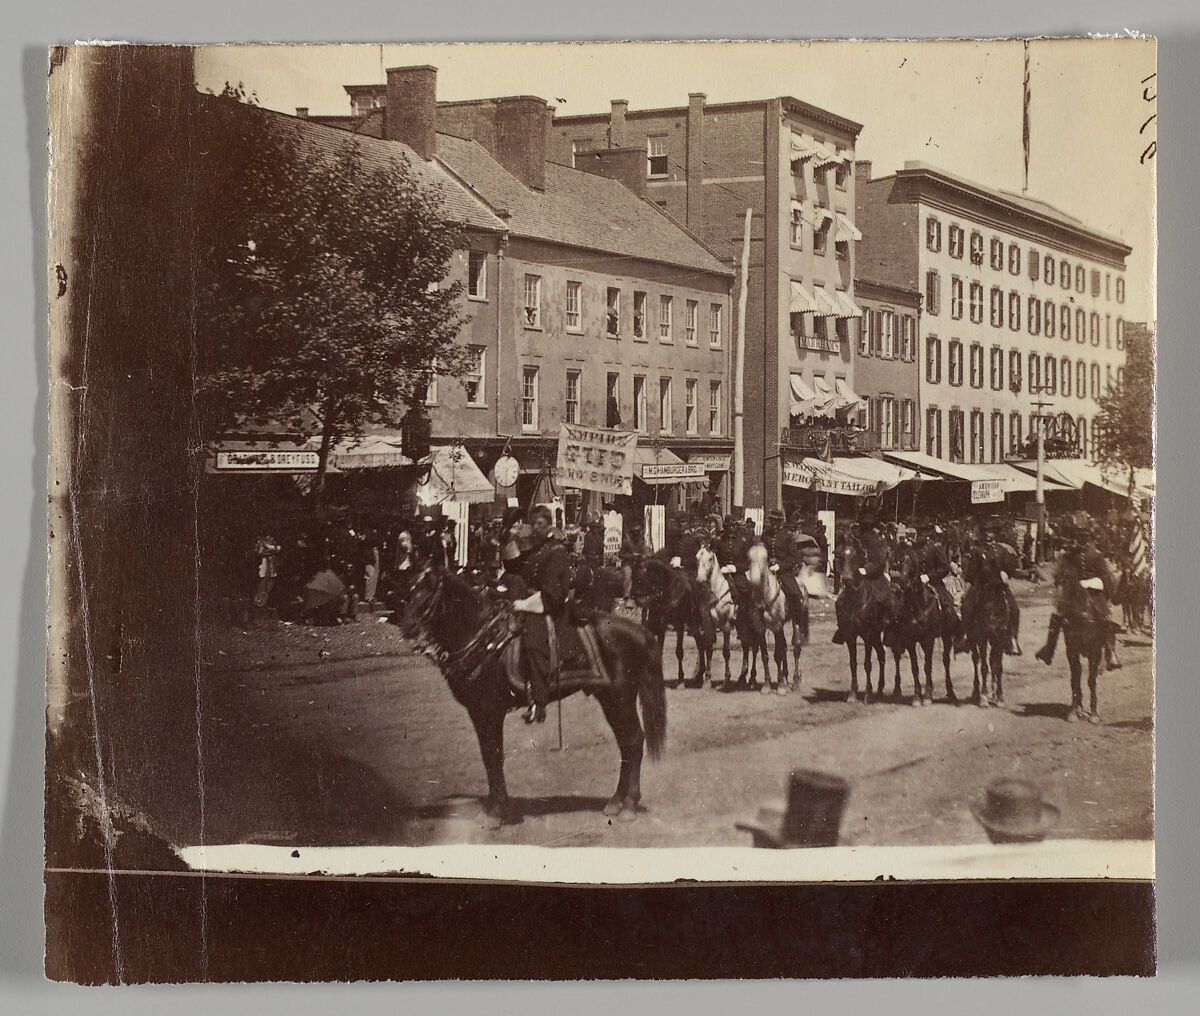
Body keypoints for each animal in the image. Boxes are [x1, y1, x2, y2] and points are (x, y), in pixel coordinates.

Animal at [400, 563, 667, 825]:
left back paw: (629, 804)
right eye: (410, 589)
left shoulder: (487, 711)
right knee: (626, 744)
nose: (407, 627)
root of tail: (641, 632)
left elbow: (493, 756)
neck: (483, 639)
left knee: (633, 741)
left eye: (429, 591)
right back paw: (616, 802)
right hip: (611, 700)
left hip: (619, 699)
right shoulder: (480, 713)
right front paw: (495, 807)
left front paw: (496, 812)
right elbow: (489, 756)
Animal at [744, 544, 811, 695]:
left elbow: (777, 654)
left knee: (796, 647)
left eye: (765, 559)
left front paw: (780, 685)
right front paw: (767, 685)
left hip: (796, 621)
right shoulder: (760, 629)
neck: (764, 597)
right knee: (785, 647)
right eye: (749, 558)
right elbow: (765, 655)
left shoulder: (777, 627)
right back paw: (786, 678)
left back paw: (795, 681)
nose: (754, 581)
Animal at [888, 575, 960, 710]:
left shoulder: (929, 638)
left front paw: (926, 696)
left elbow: (927, 666)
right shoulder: (910, 640)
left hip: (946, 636)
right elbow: (915, 667)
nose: (893, 618)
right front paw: (917, 697)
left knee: (945, 661)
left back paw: (950, 691)